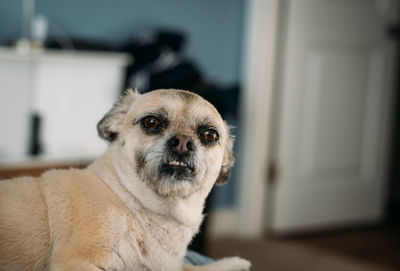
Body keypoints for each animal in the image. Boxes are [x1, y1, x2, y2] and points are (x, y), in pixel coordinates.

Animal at [0, 90, 250, 271]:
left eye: (210, 135)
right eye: (151, 123)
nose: (182, 142)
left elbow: (194, 267)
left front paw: (233, 263)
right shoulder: (77, 263)